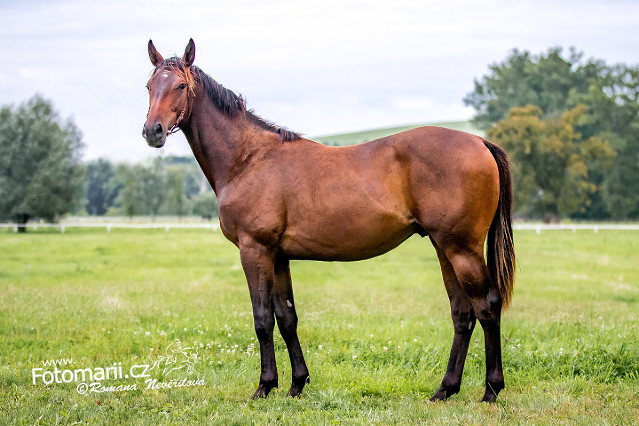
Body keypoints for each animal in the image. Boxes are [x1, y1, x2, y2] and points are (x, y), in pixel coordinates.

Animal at [144, 39, 516, 402]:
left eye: (180, 85)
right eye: (149, 85)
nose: (152, 131)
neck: (249, 159)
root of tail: (479, 141)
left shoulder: (255, 250)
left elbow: (262, 320)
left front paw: (264, 386)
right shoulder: (278, 257)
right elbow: (287, 317)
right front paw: (296, 383)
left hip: (461, 249)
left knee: (486, 306)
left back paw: (491, 390)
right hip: (444, 248)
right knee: (462, 313)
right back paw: (445, 389)